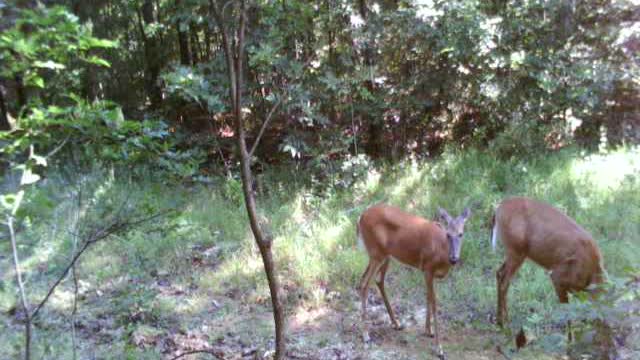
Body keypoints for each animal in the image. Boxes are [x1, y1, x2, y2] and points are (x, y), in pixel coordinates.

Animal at [356, 204, 470, 358]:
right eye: (448, 234)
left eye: (461, 234)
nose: (454, 258)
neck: (440, 250)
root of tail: (361, 216)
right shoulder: (428, 268)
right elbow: (434, 303)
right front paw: (439, 348)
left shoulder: (427, 273)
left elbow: (428, 297)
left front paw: (428, 331)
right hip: (376, 252)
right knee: (365, 284)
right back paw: (366, 335)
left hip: (384, 255)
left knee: (375, 280)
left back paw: (396, 323)